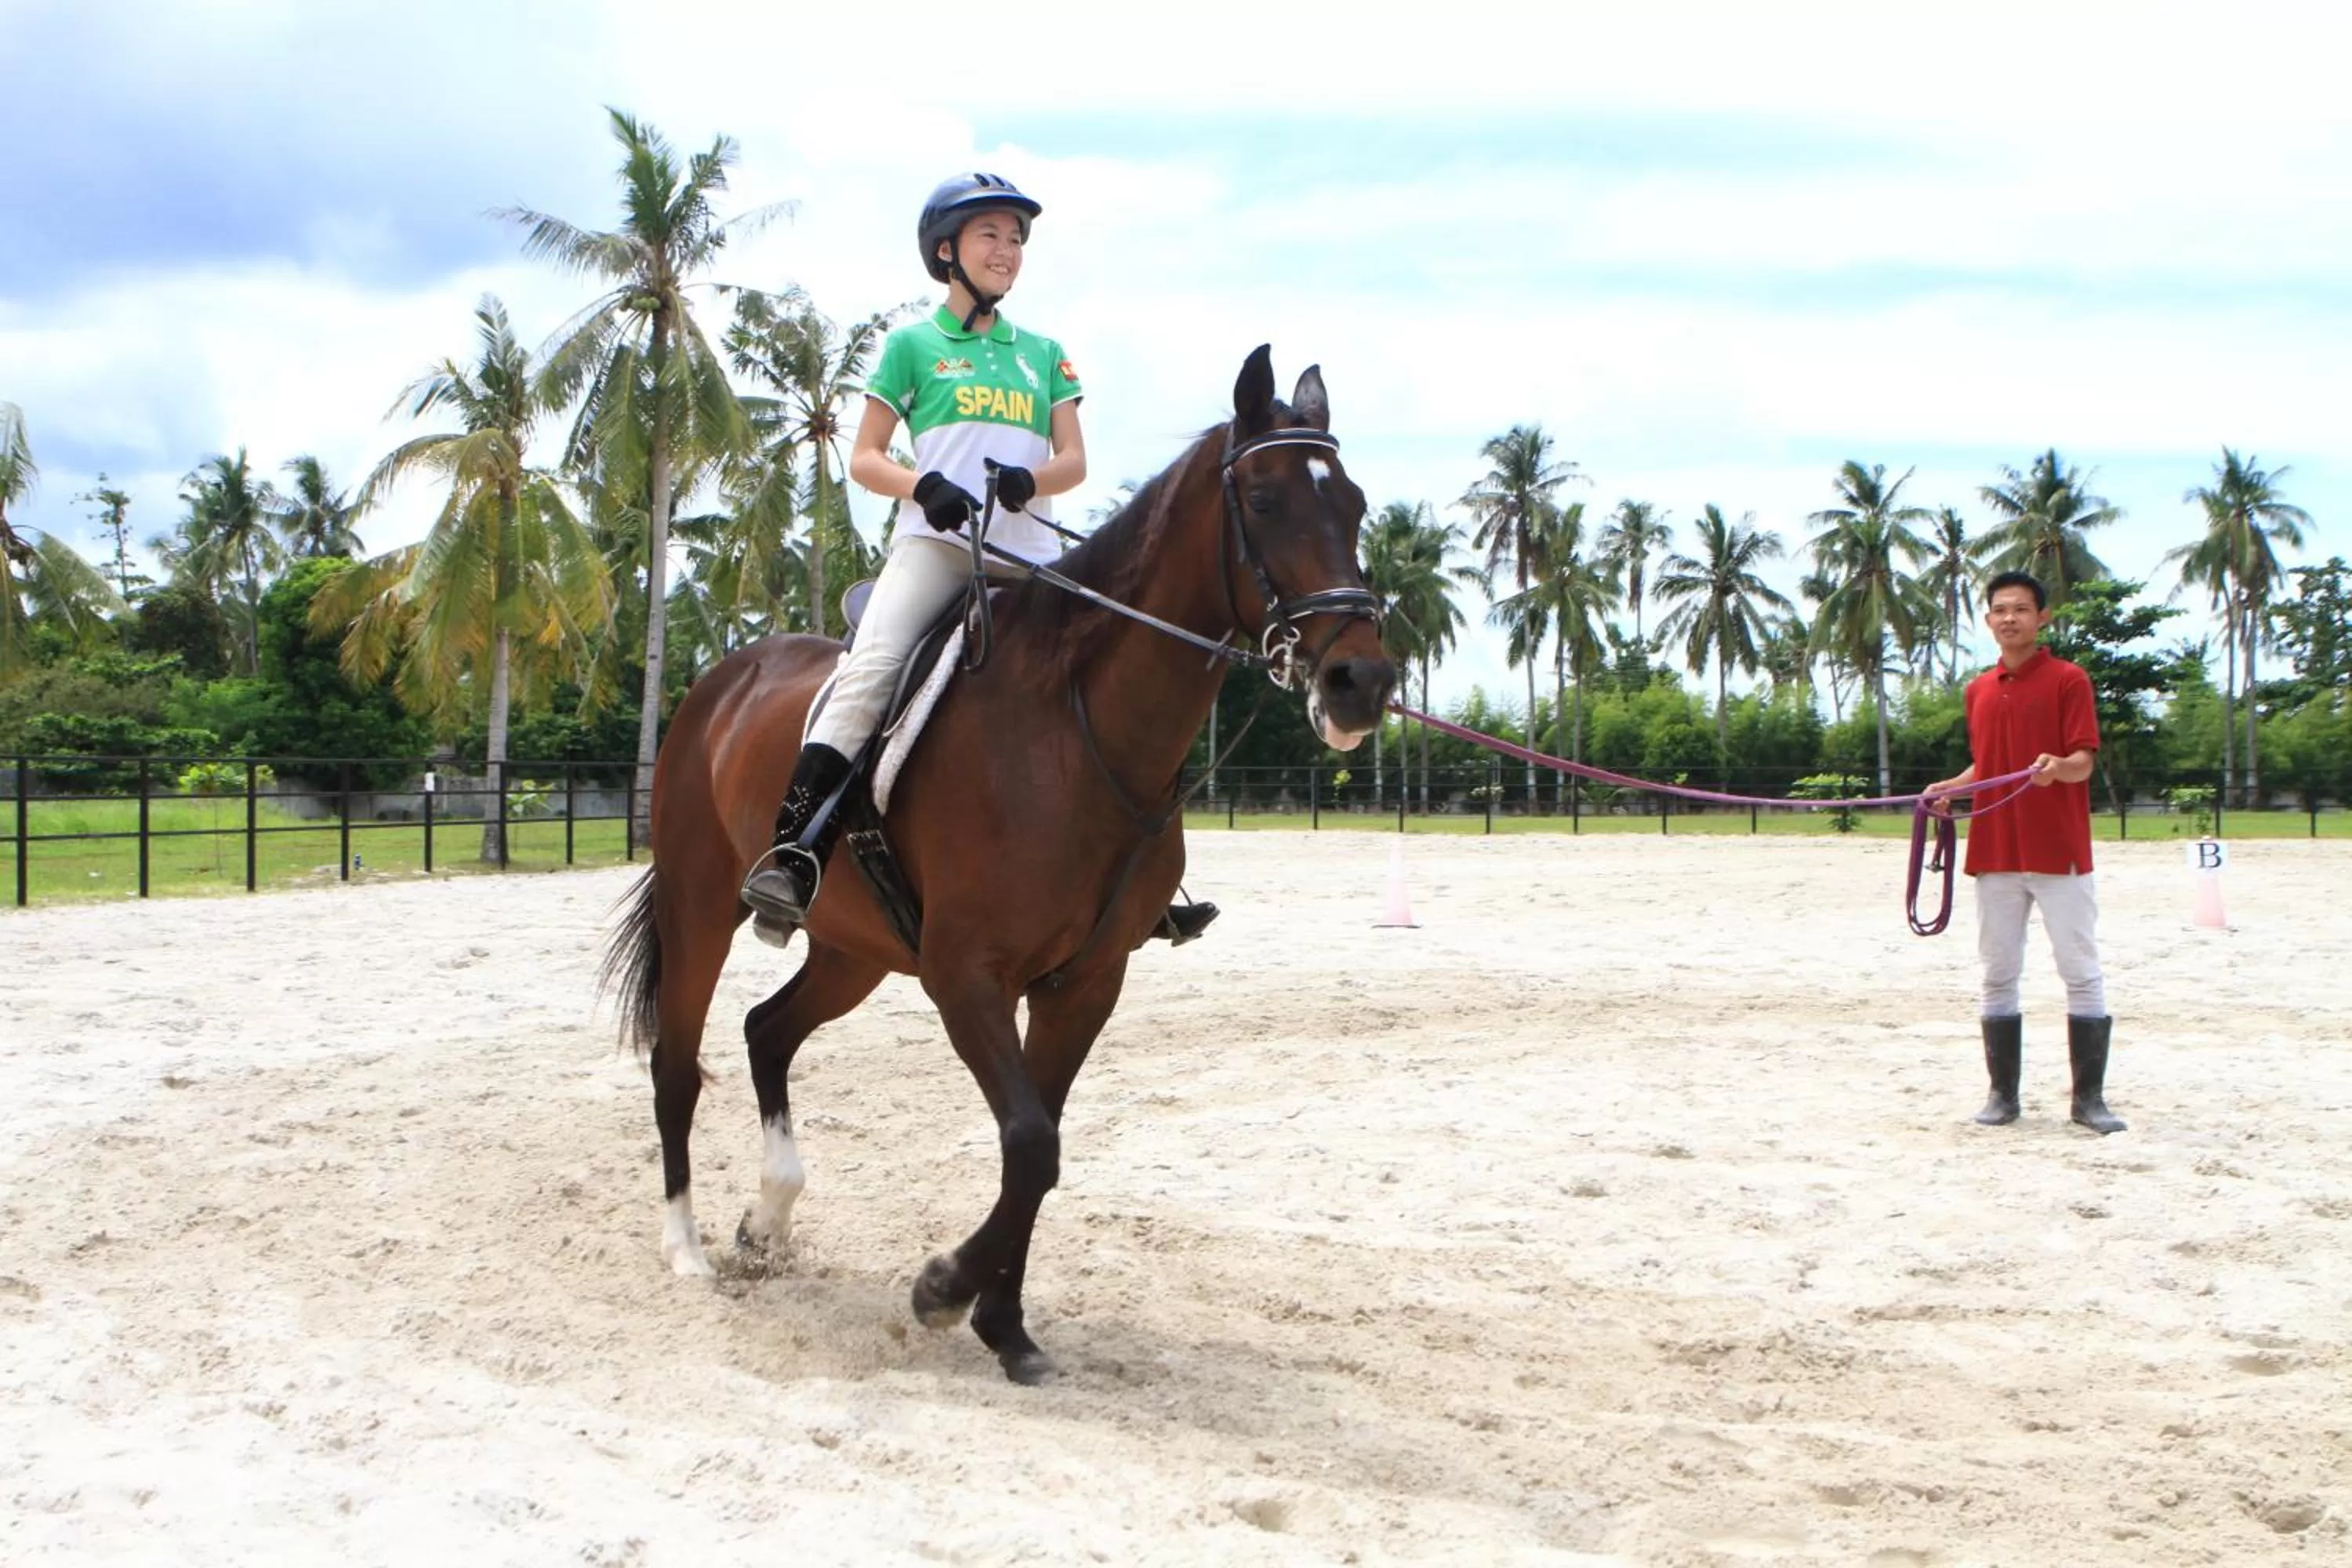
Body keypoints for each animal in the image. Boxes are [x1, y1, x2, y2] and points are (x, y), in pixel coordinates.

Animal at [599, 345, 1397, 1383]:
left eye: (1356, 504)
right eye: (1263, 500)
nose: (1362, 681)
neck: (1076, 732)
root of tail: (723, 681)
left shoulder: (1082, 983)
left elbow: (1042, 1146)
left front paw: (1004, 1322)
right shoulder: (965, 974)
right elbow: (1029, 1140)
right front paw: (943, 1288)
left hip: (853, 948)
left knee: (767, 1030)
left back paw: (767, 1217)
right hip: (701, 905)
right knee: (678, 1063)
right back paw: (687, 1249)